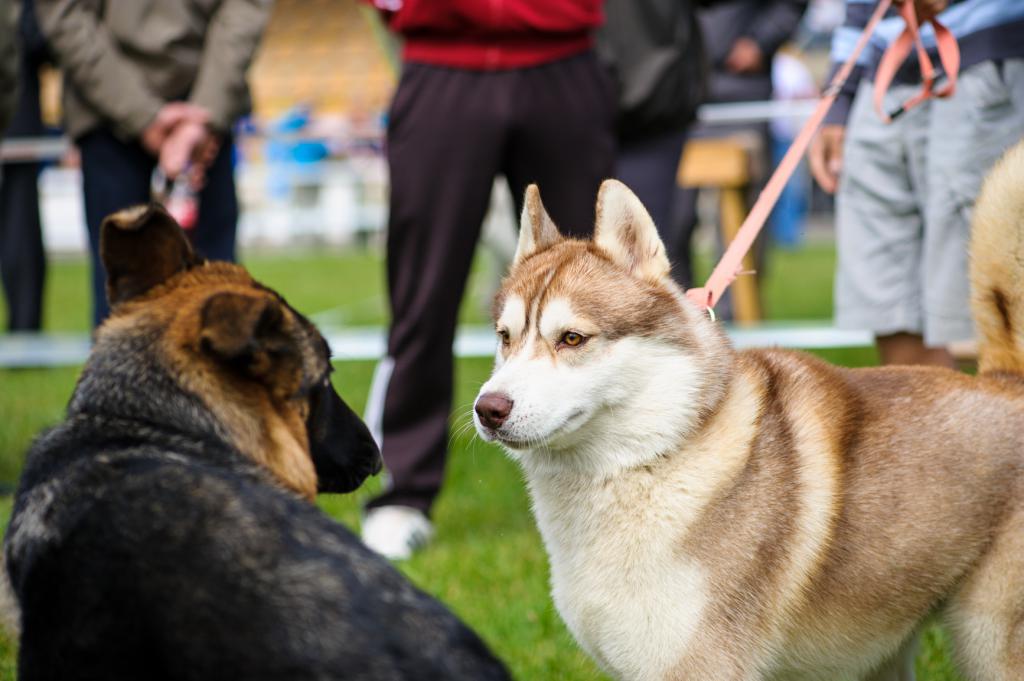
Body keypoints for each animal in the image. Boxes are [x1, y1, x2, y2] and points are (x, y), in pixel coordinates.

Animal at [471, 142, 1024, 675]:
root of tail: (1005, 380)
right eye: (504, 337)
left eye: (571, 338)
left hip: (987, 646)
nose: (487, 409)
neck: (650, 461)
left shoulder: (699, 665)